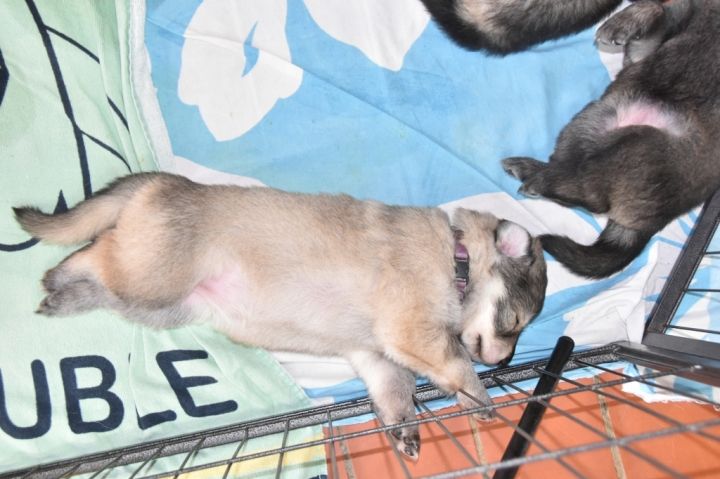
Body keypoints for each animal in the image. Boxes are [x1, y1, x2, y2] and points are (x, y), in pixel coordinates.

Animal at [15, 172, 547, 459]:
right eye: (514, 324)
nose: (504, 362)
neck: (457, 257)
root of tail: (165, 181)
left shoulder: (377, 356)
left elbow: (396, 393)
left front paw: (404, 430)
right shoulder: (412, 329)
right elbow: (454, 365)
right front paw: (480, 396)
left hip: (164, 303)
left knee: (101, 281)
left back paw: (64, 296)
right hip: (151, 275)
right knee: (98, 250)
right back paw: (63, 274)